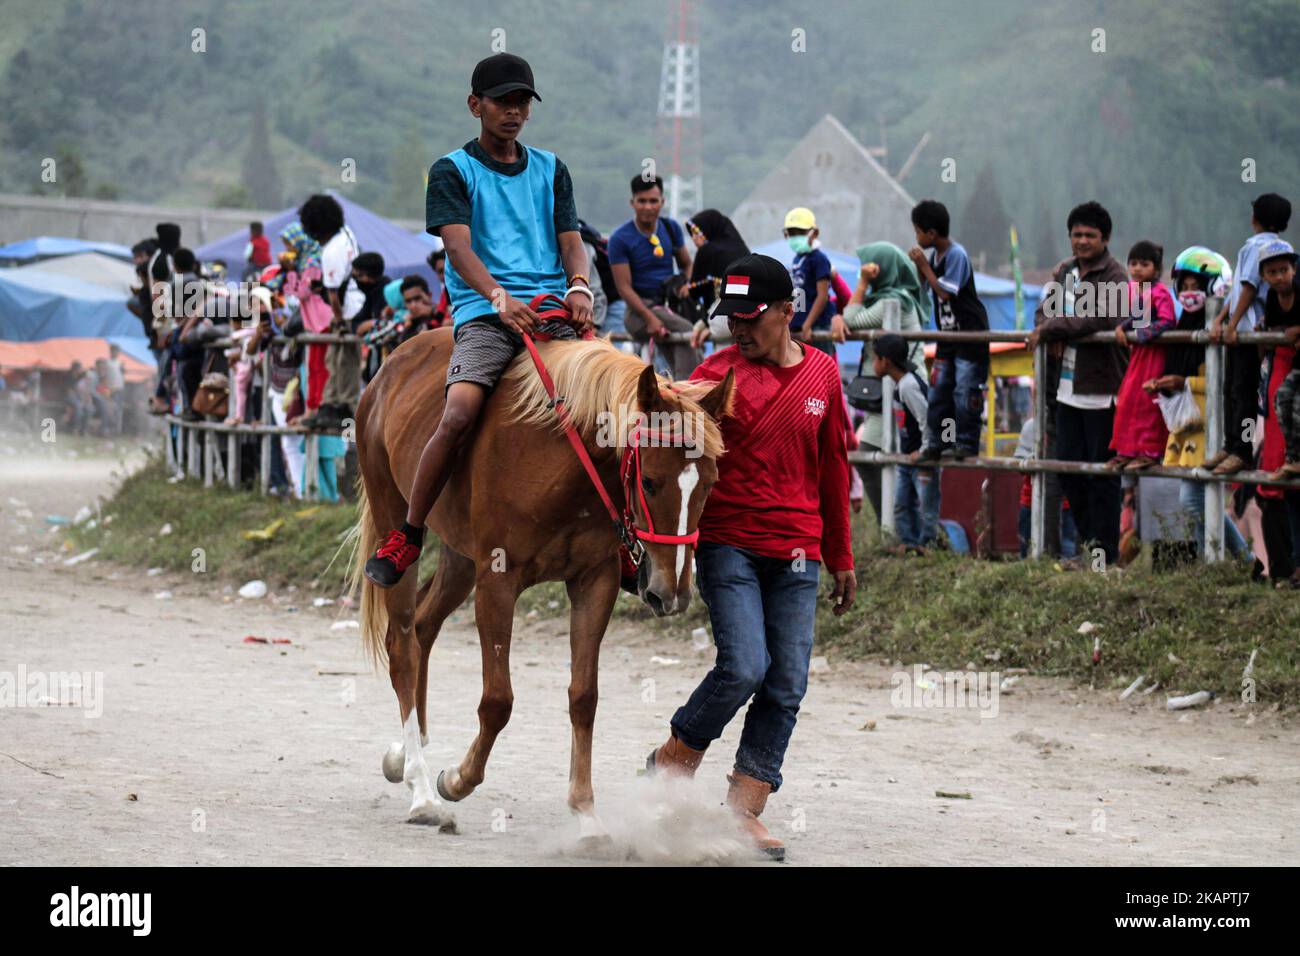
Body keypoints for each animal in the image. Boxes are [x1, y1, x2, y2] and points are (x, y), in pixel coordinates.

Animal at [351, 327, 733, 837]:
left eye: (709, 484)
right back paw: (421, 789)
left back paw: (406, 753)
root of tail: (390, 368)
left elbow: (584, 697)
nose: (670, 593)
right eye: (650, 482)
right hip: (396, 515)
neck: (563, 461)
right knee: (402, 647)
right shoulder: (497, 581)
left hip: (460, 557)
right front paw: (457, 779)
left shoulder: (594, 582)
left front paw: (586, 814)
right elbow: (498, 700)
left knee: (424, 630)